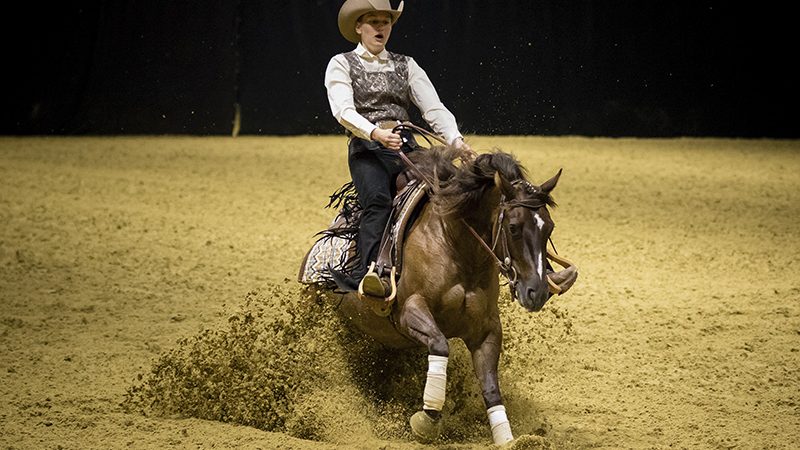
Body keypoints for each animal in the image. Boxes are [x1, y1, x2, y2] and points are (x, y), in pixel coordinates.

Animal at [324, 146, 564, 444]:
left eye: (549, 228)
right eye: (514, 227)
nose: (537, 291)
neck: (456, 247)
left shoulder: (487, 329)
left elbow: (490, 386)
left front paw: (508, 439)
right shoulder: (409, 311)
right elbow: (440, 345)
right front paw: (427, 418)